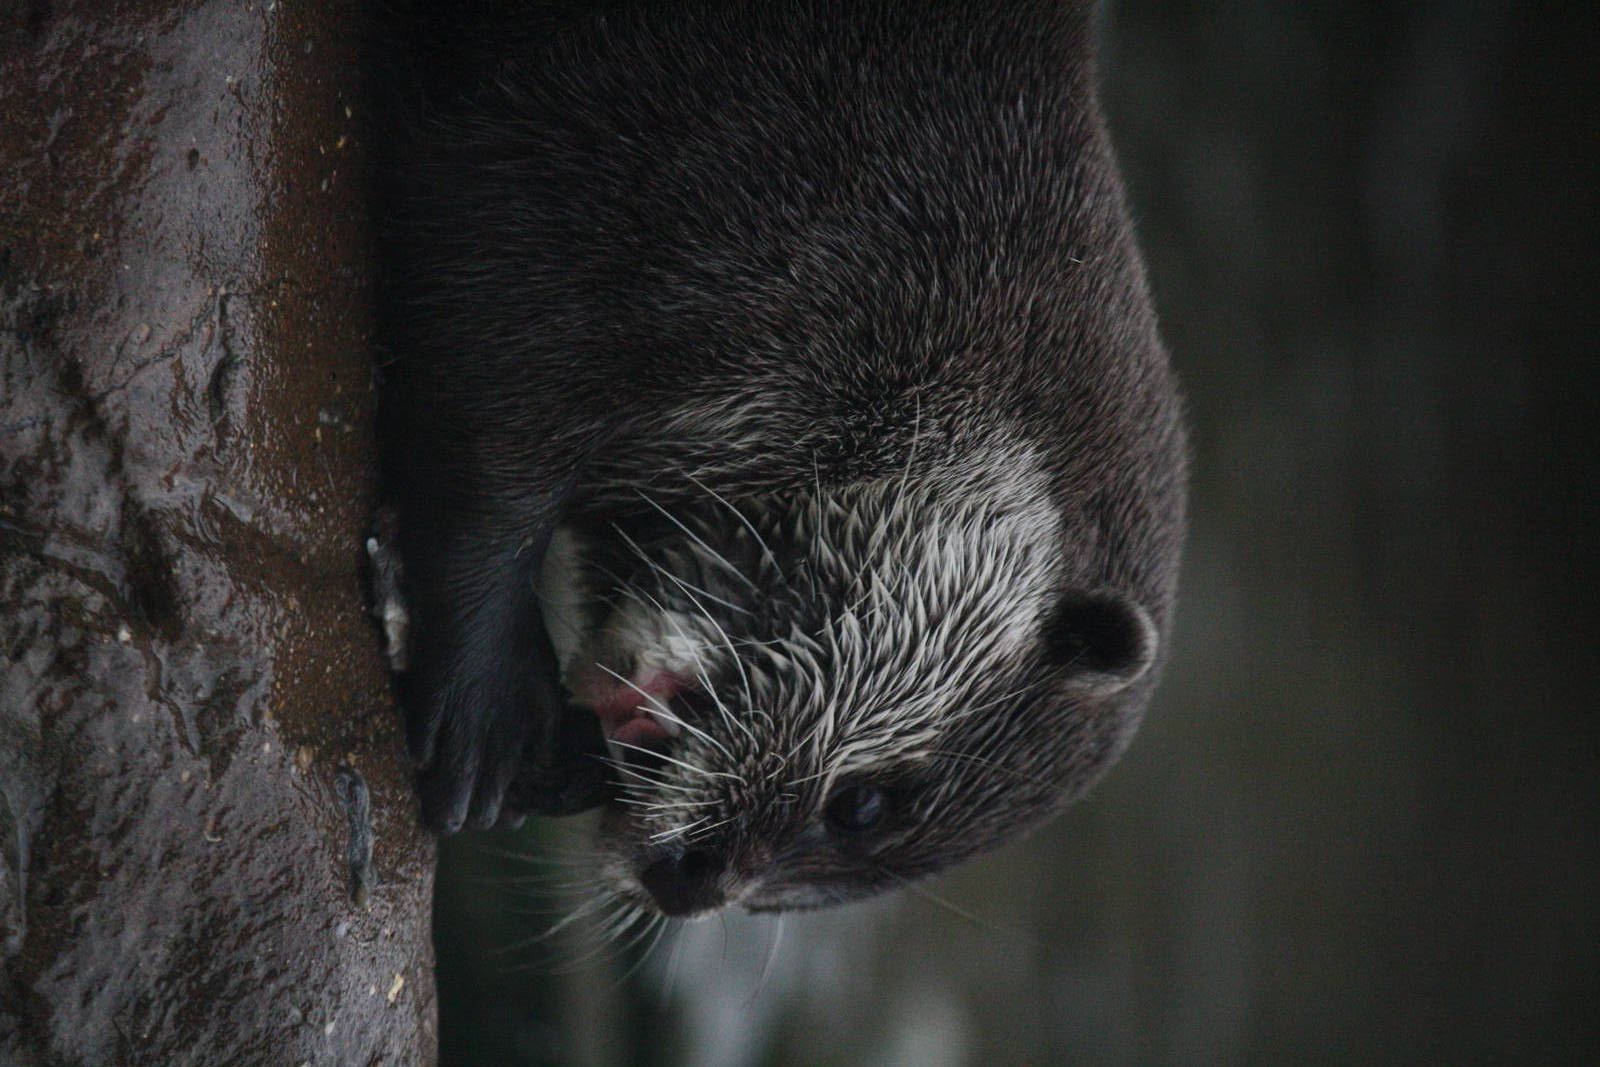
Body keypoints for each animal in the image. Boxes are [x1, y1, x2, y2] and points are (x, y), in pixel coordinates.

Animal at [376, 0, 1185, 918]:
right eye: (863, 804)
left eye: (787, 900)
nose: (687, 885)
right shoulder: (598, 200)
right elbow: (496, 437)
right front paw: (486, 708)